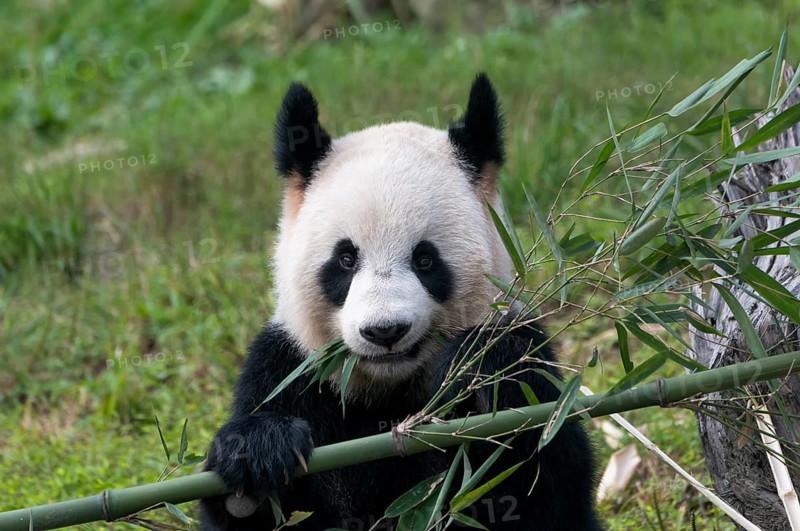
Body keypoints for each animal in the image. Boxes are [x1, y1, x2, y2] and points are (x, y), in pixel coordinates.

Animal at [200, 74, 602, 530]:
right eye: (345, 259)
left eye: (425, 259)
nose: (384, 331)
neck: (388, 391)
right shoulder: (290, 366)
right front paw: (259, 450)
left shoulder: (524, 340)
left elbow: (545, 472)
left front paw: (482, 367)